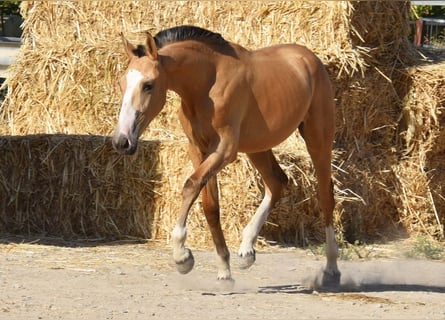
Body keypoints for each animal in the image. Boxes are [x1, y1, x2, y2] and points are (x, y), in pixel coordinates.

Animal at [112, 25, 340, 284]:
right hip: (257, 147)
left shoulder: (224, 150)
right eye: (122, 83)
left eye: (148, 84)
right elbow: (210, 205)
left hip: (318, 141)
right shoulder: (198, 149)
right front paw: (224, 269)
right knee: (277, 182)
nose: (122, 141)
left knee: (325, 196)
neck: (208, 82)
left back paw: (332, 268)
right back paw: (247, 250)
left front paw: (182, 256)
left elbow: (190, 186)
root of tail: (310, 58)